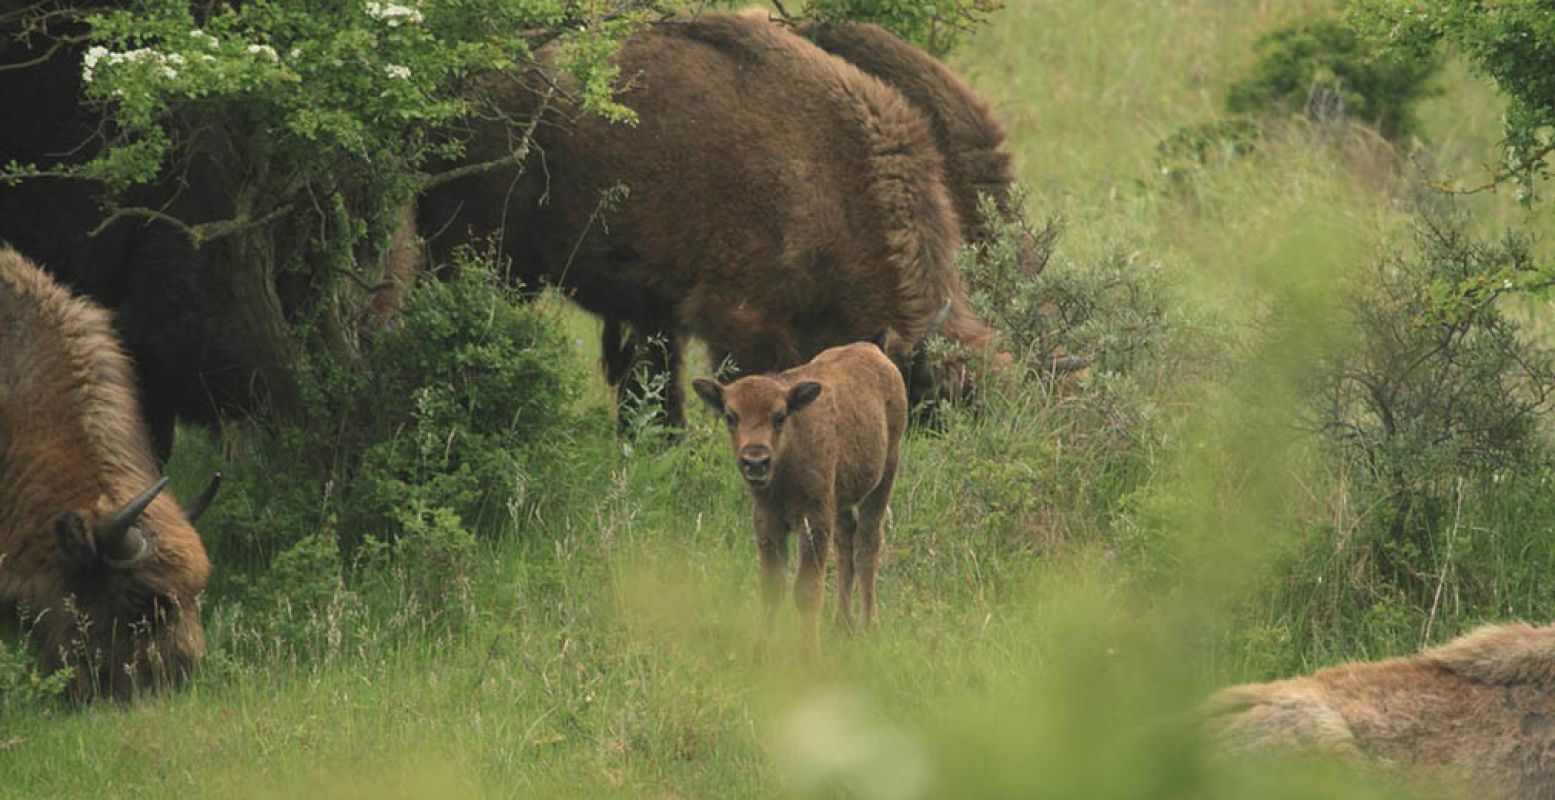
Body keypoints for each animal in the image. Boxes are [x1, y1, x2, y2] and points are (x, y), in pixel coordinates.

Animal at [696, 339, 908, 644]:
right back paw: (842, 623)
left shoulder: (814, 520)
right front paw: (761, 648)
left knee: (867, 544)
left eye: (780, 416)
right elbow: (772, 587)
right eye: (730, 416)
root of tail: (874, 352)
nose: (755, 461)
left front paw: (810, 650)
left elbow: (807, 591)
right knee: (846, 543)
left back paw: (870, 625)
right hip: (841, 503)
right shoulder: (768, 522)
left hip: (884, 477)